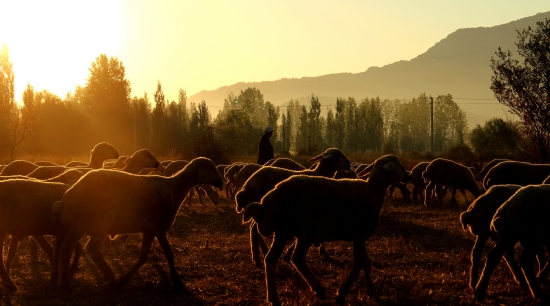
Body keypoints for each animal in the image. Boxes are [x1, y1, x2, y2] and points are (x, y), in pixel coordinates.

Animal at [54, 158, 222, 292]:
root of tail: (69, 194)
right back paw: (112, 279)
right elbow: (143, 256)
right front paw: (124, 279)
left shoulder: (159, 229)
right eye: (211, 168)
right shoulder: (151, 228)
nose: (220, 183)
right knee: (92, 247)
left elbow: (169, 253)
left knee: (67, 246)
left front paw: (177, 280)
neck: (173, 189)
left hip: (80, 223)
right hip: (103, 219)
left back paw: (63, 283)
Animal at [245, 155, 410, 306]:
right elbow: (358, 265)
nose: (408, 176)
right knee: (297, 258)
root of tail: (267, 201)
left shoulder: (360, 237)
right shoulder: (360, 236)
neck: (374, 191)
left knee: (271, 260)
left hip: (283, 231)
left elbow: (366, 263)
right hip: (304, 231)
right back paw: (318, 289)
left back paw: (273, 298)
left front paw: (371, 291)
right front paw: (342, 294)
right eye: (398, 165)